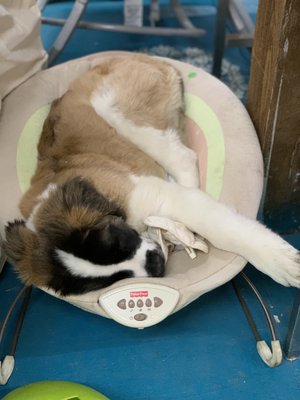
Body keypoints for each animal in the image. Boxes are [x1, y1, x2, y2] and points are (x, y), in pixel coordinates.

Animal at [2, 54, 300, 296]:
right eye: (106, 282)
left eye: (119, 242)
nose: (156, 265)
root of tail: (143, 56)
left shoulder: (150, 194)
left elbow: (222, 229)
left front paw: (277, 260)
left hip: (115, 110)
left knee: (184, 159)